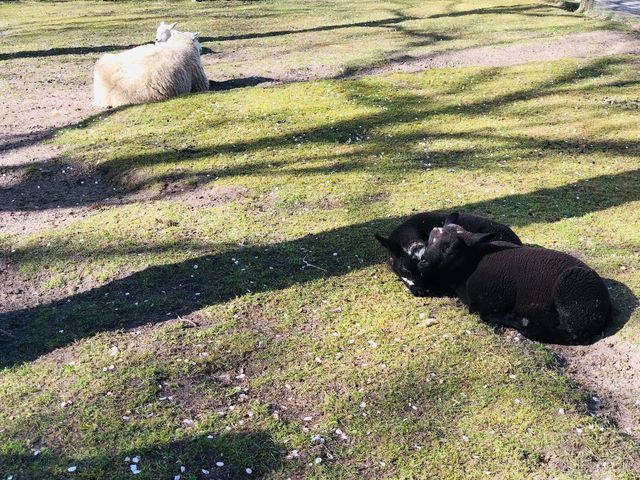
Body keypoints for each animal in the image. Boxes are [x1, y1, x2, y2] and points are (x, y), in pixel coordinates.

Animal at [420, 215, 608, 344]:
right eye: (430, 239)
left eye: (449, 247)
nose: (422, 262)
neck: (471, 265)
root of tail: (604, 305)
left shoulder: (489, 302)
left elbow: (483, 314)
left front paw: (518, 320)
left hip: (572, 300)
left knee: (574, 335)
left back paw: (531, 329)